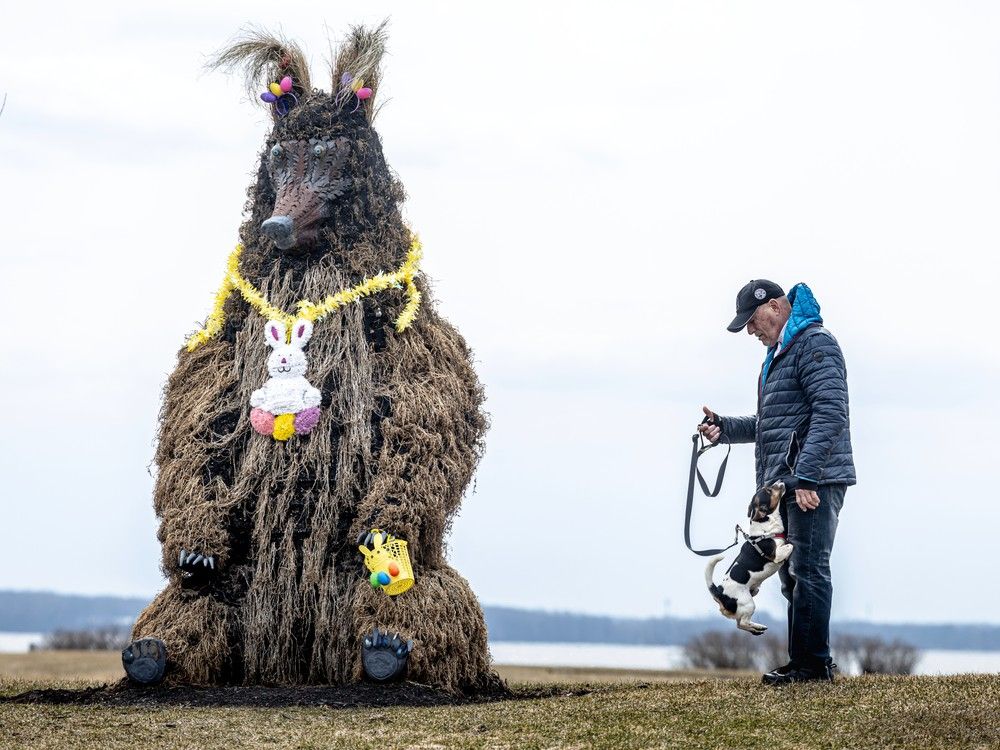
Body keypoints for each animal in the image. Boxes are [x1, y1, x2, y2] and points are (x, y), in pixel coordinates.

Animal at [708, 482, 792, 636]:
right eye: (769, 490)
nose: (780, 481)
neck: (765, 528)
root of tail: (719, 593)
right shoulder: (776, 554)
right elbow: (789, 546)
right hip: (748, 603)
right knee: (742, 623)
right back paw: (757, 627)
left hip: (750, 598)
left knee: (739, 624)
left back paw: (758, 627)